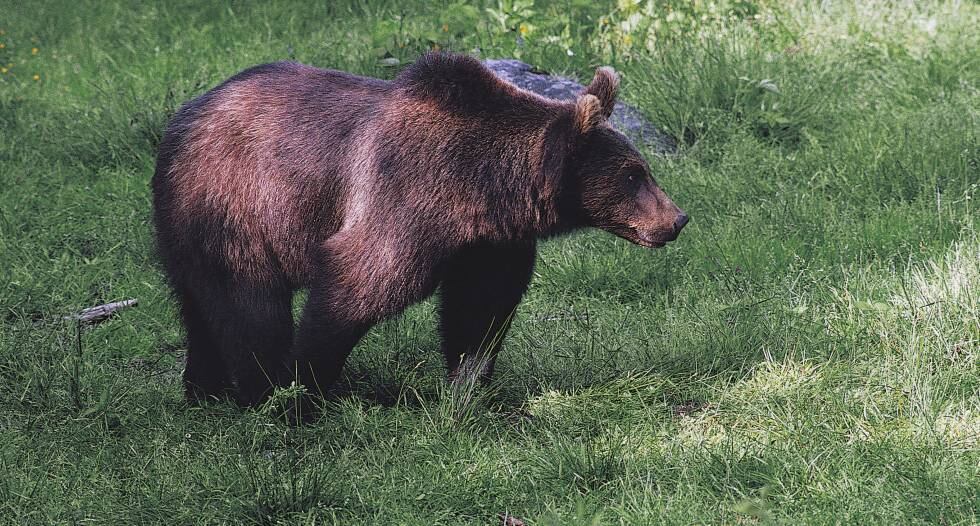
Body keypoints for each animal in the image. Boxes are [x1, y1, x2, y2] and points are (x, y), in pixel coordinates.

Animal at [153, 53, 688, 406]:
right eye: (633, 174)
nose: (677, 219)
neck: (484, 188)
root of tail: (184, 116)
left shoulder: (488, 241)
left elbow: (482, 307)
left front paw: (469, 385)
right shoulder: (405, 200)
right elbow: (359, 283)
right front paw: (306, 385)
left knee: (201, 306)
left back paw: (203, 387)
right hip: (235, 206)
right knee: (250, 308)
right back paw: (258, 392)